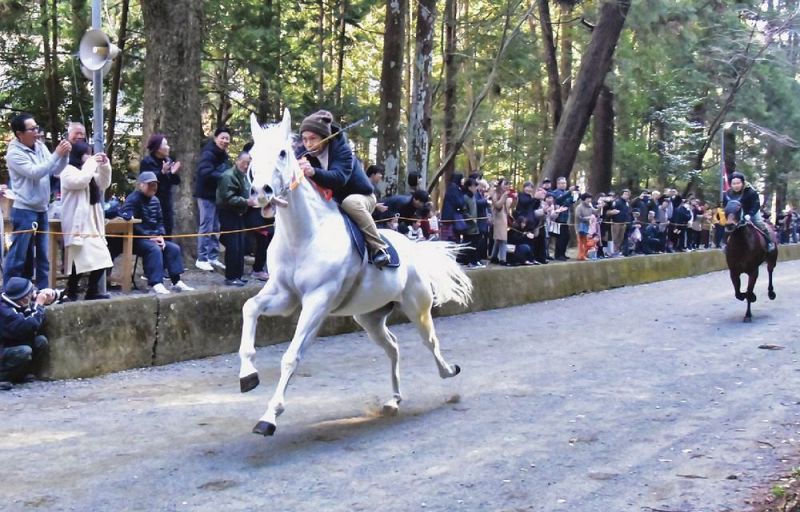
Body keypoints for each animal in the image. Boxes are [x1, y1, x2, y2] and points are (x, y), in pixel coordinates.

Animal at [238, 110, 473, 436]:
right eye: (252, 155)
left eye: (283, 153)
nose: (260, 192)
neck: (304, 235)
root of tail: (413, 249)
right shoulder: (284, 295)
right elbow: (249, 308)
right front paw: (248, 375)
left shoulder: (317, 301)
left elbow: (291, 356)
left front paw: (269, 416)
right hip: (370, 317)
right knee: (392, 347)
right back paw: (393, 399)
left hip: (418, 307)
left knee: (431, 342)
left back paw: (448, 371)